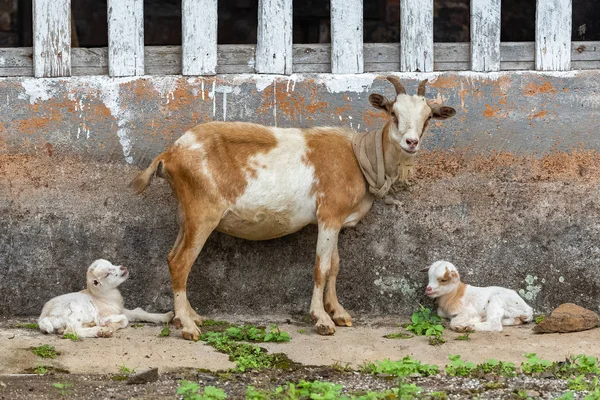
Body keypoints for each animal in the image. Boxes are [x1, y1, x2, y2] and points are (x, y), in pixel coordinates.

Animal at [38, 260, 172, 338]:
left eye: (112, 264)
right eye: (107, 274)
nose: (123, 268)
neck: (103, 297)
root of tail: (43, 317)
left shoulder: (119, 309)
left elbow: (138, 312)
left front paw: (167, 316)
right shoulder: (105, 314)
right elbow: (123, 320)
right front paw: (108, 326)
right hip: (74, 311)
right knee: (71, 331)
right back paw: (99, 331)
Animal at [131, 76, 458, 340]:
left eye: (428, 118)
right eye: (393, 113)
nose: (411, 142)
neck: (357, 157)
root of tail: (169, 154)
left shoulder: (335, 219)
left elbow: (335, 266)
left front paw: (339, 312)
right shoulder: (328, 215)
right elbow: (321, 267)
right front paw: (322, 320)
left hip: (185, 215)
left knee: (172, 256)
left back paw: (190, 316)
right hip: (202, 213)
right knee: (181, 262)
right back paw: (187, 327)